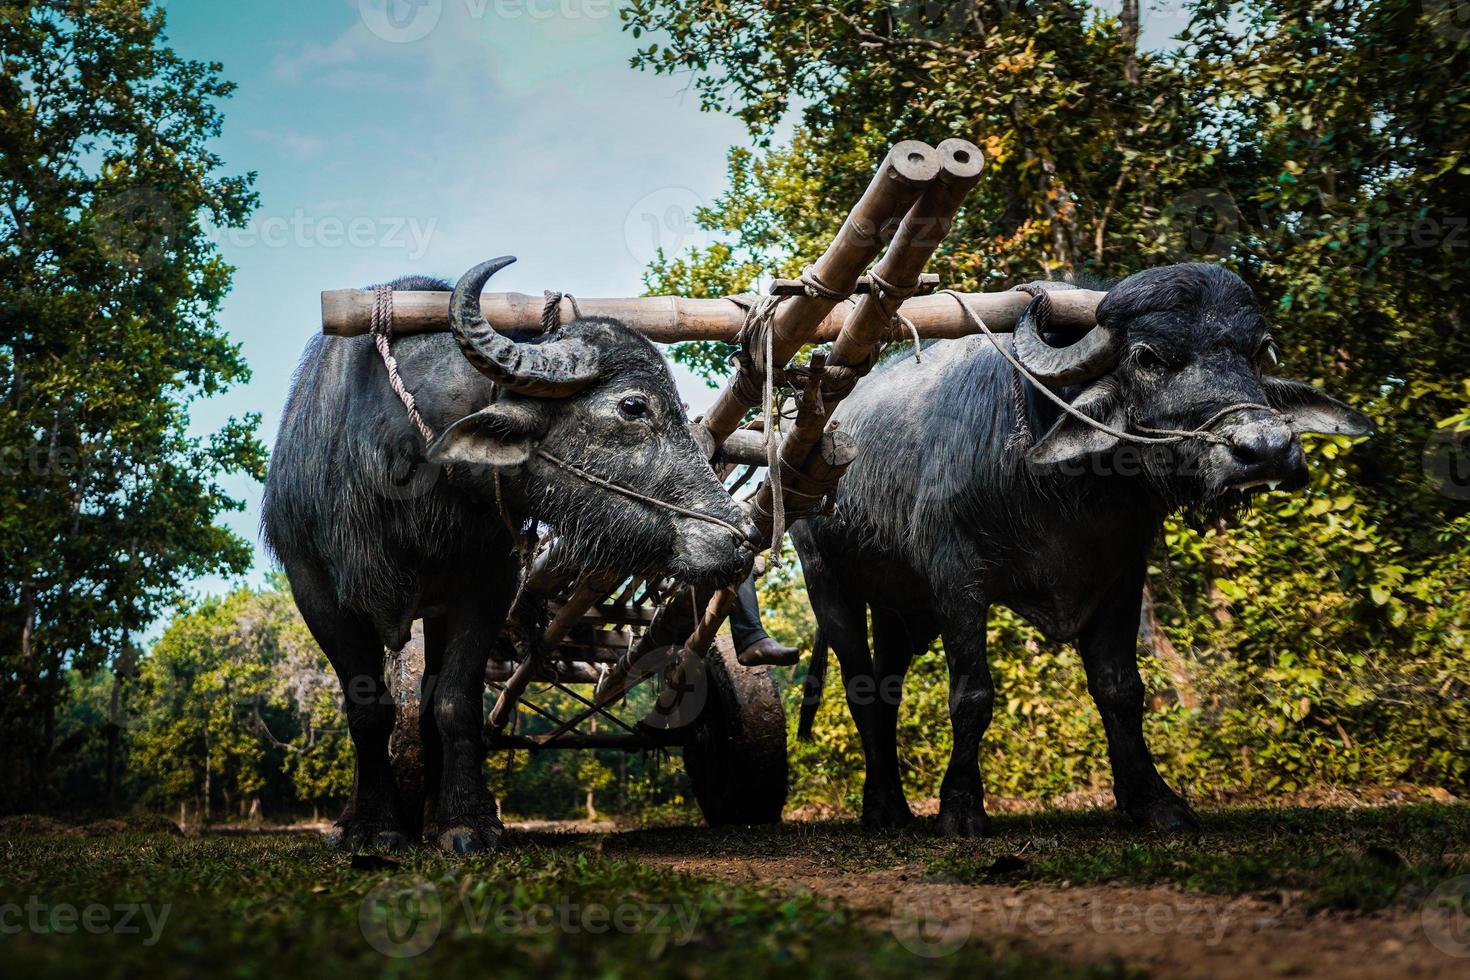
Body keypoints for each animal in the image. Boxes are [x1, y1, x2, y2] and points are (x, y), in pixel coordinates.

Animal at [260, 255, 758, 852]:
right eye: (633, 406)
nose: (742, 533)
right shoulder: (313, 590)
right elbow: (367, 712)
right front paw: (372, 827)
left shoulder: (486, 585)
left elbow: (453, 703)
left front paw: (466, 822)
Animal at [793, 262, 1364, 834]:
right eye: (1148, 357)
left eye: (1260, 350)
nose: (1266, 449)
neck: (1062, 487)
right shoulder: (957, 581)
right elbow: (972, 696)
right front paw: (961, 807)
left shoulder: (1121, 575)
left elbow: (1121, 688)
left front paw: (1154, 799)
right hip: (827, 581)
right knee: (862, 690)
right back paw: (884, 805)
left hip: (900, 609)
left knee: (887, 689)